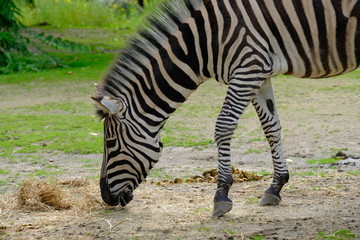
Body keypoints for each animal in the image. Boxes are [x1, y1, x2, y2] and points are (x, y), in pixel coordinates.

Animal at [91, 0, 358, 218]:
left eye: (110, 143)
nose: (105, 197)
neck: (202, 43)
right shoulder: (259, 73)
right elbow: (271, 127)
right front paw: (276, 186)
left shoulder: (248, 69)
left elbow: (223, 126)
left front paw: (221, 195)